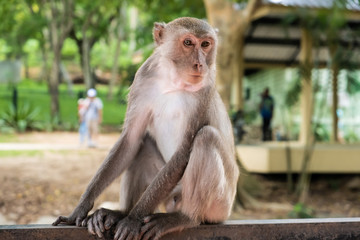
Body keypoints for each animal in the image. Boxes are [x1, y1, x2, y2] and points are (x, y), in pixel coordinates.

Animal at [53, 17, 239, 240]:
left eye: (205, 44)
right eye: (188, 43)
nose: (200, 64)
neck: (173, 81)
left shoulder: (206, 89)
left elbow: (184, 150)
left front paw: (133, 219)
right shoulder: (143, 77)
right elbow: (131, 140)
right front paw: (79, 210)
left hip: (220, 204)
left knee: (206, 136)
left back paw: (184, 218)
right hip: (169, 192)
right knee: (143, 145)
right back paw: (119, 212)